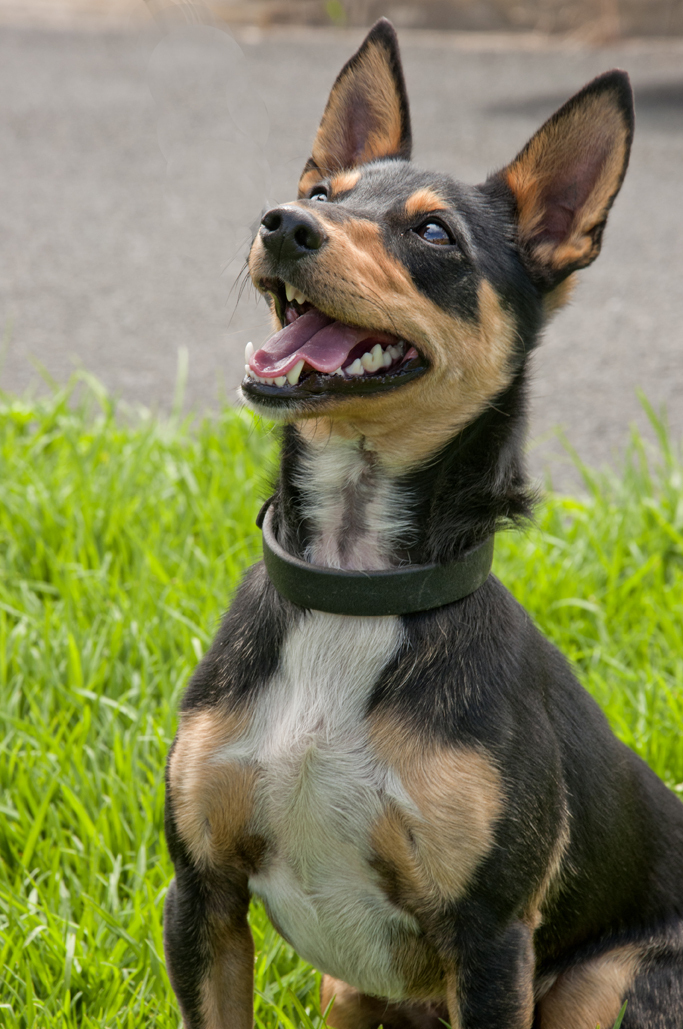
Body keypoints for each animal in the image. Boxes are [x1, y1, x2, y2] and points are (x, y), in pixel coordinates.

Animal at [163, 20, 683, 1029]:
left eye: (433, 231)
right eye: (318, 193)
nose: (280, 223)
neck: (352, 587)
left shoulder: (489, 939)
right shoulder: (201, 895)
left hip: (601, 985)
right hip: (346, 991)